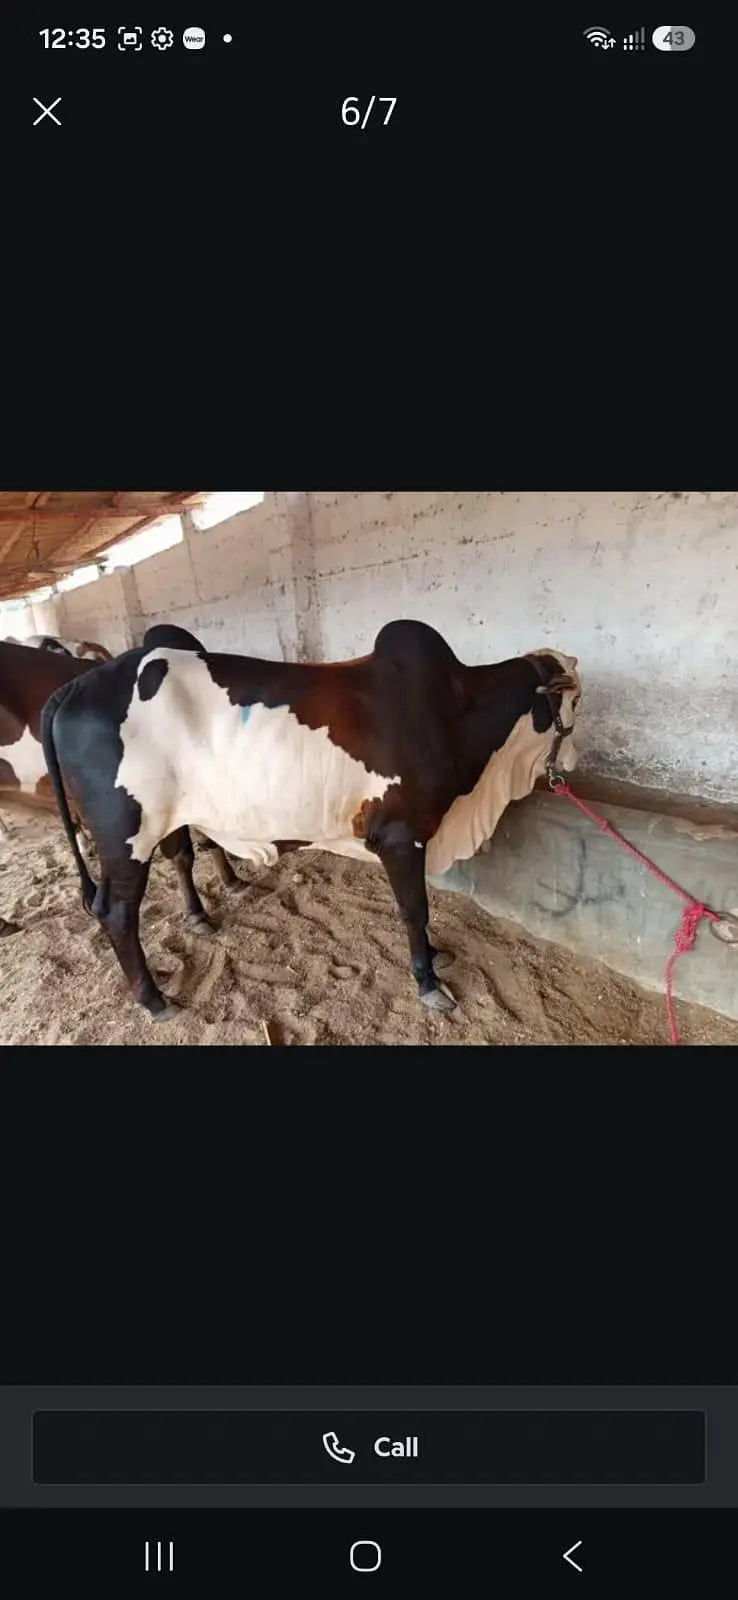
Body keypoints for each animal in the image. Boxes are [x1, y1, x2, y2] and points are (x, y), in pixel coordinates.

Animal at [40, 619, 582, 1023]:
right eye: (575, 702)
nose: (572, 763)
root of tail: (75, 685)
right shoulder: (399, 837)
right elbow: (415, 909)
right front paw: (429, 981)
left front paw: (435, 956)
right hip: (123, 839)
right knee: (116, 912)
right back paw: (155, 1000)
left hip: (166, 822)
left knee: (178, 860)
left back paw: (199, 922)